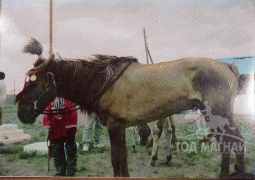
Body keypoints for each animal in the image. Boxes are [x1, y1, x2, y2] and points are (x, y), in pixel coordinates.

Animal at [15, 38, 253, 178]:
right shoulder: (118, 128)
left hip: (218, 115)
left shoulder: (115, 126)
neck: (104, 82)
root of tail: (227, 66)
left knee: (232, 143)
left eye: (34, 83)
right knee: (230, 143)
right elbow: (120, 161)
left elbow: (118, 161)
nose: (22, 113)